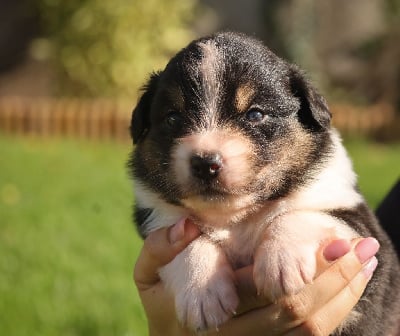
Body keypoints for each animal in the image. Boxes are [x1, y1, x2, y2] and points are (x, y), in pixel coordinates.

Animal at [128, 30, 400, 334]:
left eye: (255, 114)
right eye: (173, 117)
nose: (205, 163)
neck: (236, 218)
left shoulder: (363, 232)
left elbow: (299, 213)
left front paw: (283, 263)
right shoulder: (158, 223)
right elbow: (187, 240)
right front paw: (202, 293)